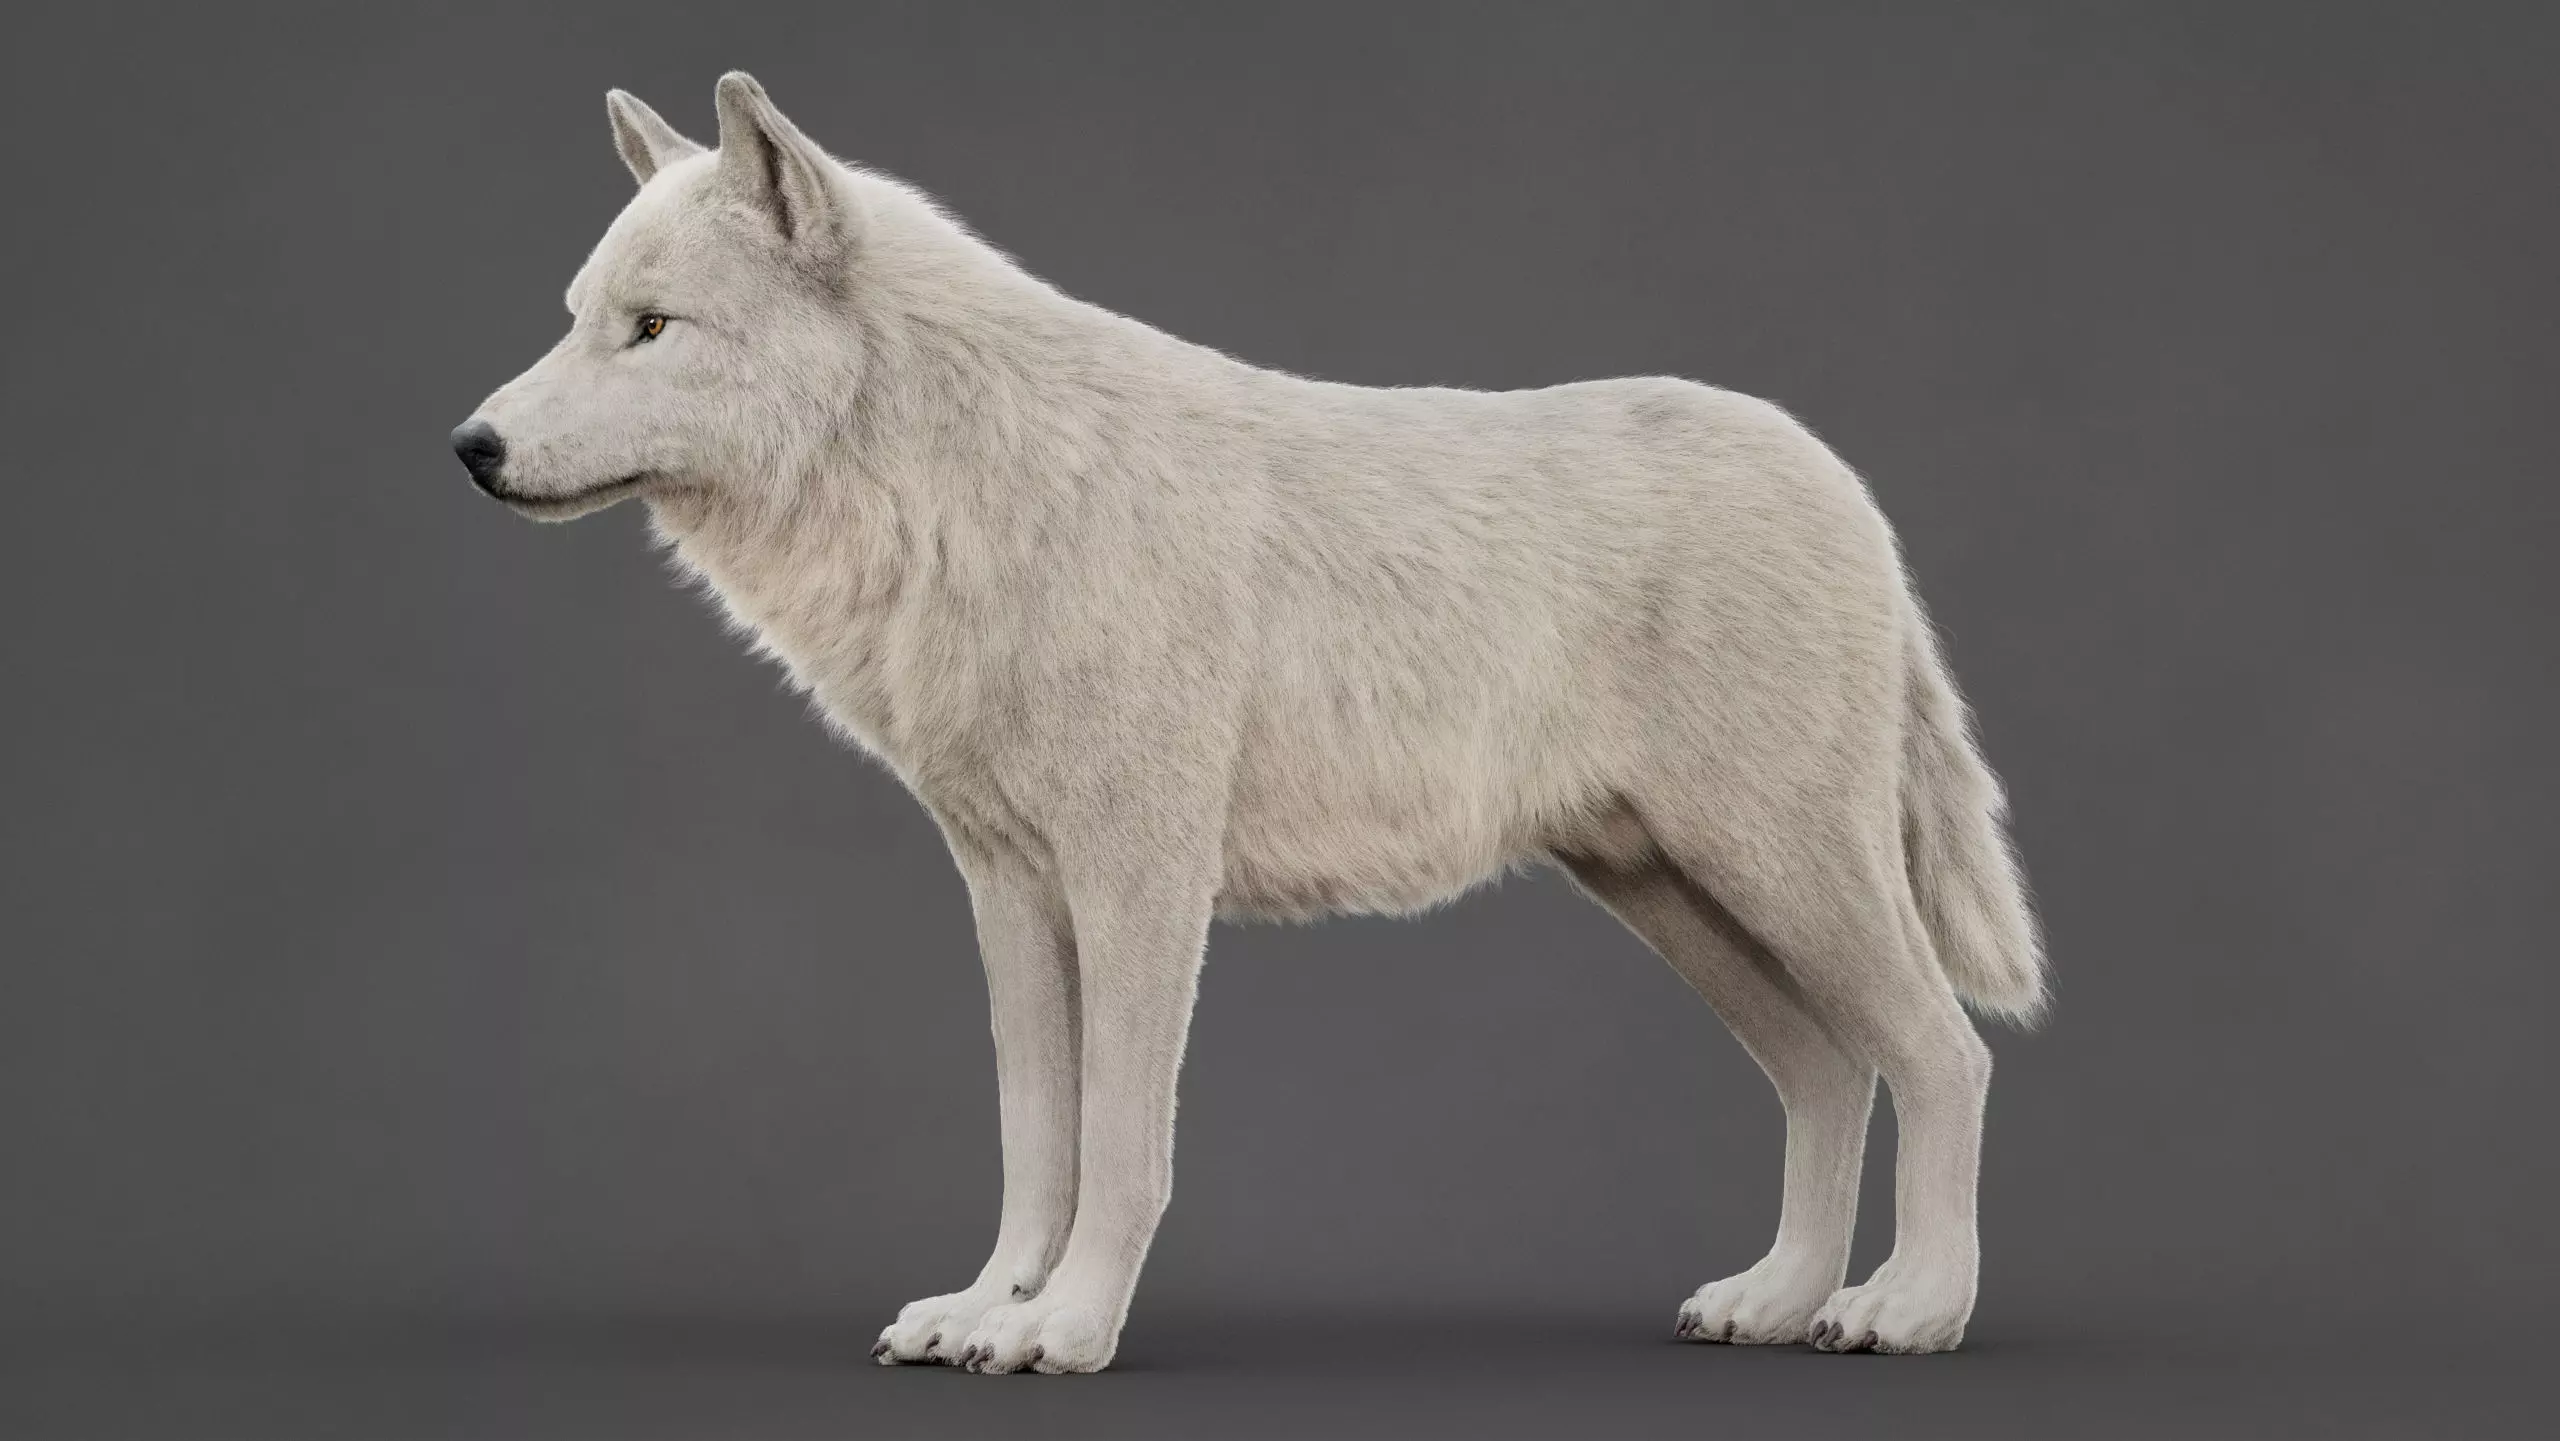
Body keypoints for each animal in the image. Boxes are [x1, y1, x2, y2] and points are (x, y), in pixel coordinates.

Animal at [452, 72, 2046, 1374]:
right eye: (578, 320)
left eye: (652, 330)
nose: (472, 446)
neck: (968, 493)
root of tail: (1843, 484)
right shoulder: (1009, 889)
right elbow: (1035, 1134)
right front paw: (986, 1311)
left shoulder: (1140, 880)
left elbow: (1120, 1143)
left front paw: (1070, 1330)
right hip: (1675, 896)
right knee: (1836, 1070)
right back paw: (1777, 1301)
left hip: (1782, 873)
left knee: (1946, 1056)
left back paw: (1912, 1309)